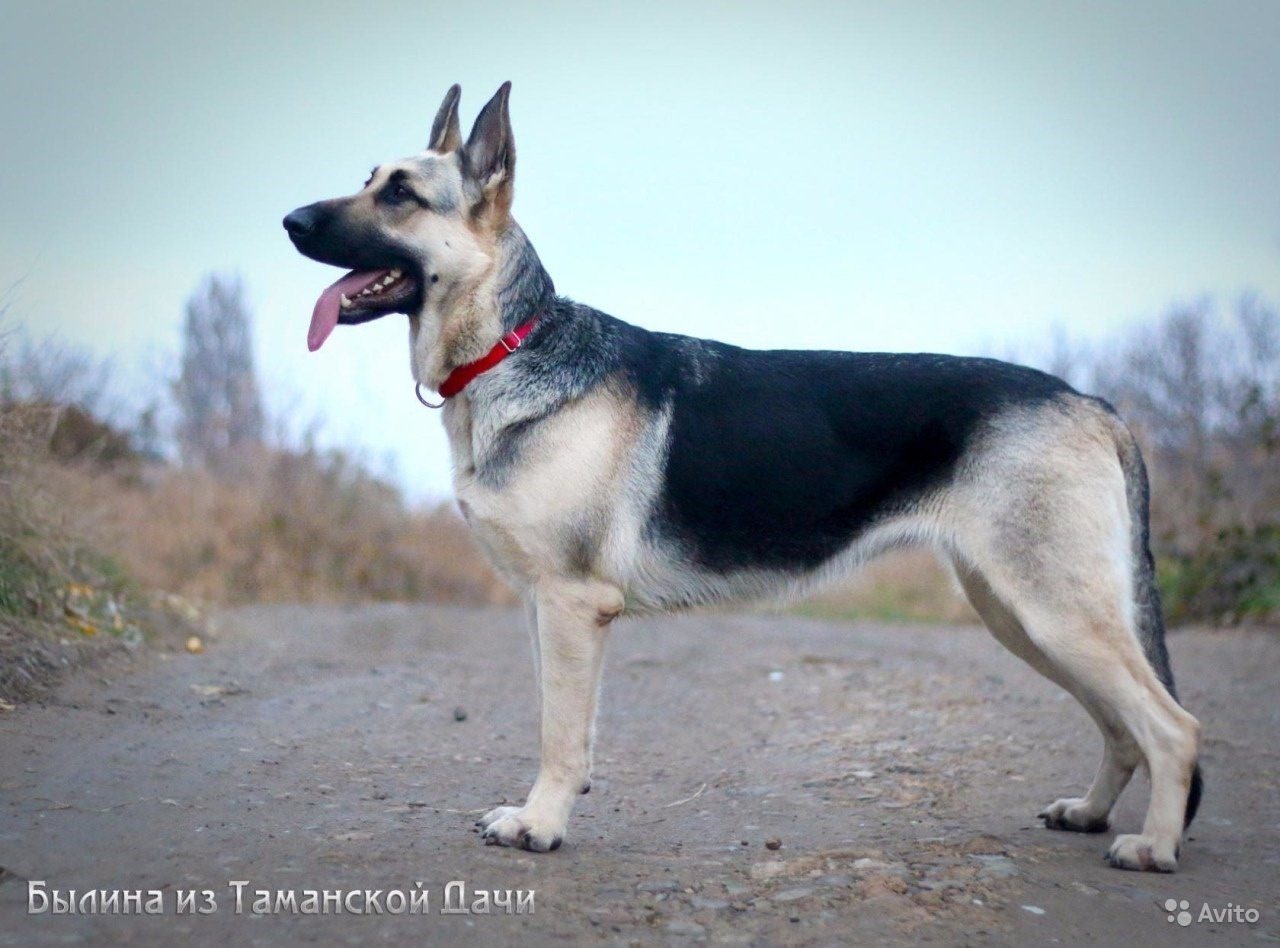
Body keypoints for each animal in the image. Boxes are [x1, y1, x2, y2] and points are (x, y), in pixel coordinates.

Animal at [285, 85, 1203, 869]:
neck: (512, 346)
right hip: (1021, 615)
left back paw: (1153, 846)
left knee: (1173, 727)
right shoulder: (542, 610)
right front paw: (545, 808)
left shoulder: (573, 606)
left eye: (401, 194)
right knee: (1124, 725)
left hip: (1055, 614)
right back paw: (1091, 814)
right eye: (369, 181)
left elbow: (560, 734)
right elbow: (561, 724)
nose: (288, 218)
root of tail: (1092, 402)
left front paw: (541, 825)